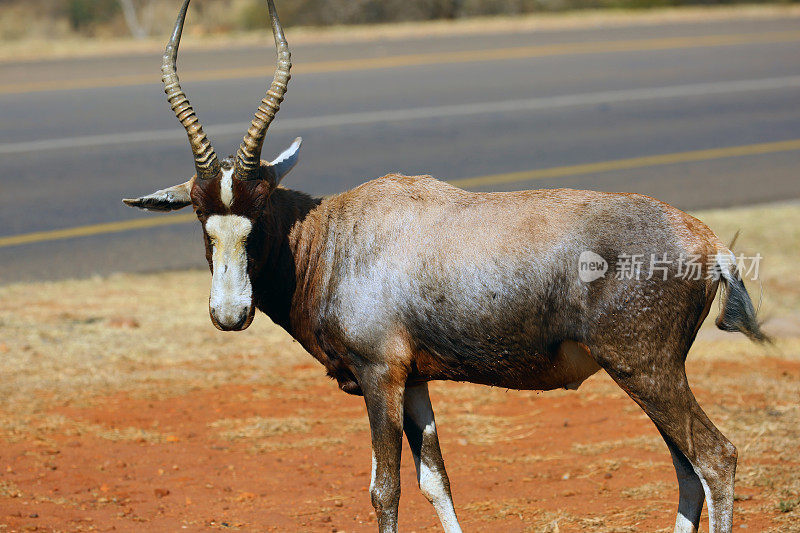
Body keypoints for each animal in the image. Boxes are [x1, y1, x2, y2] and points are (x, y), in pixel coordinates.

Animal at [123, 1, 768, 532]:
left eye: (258, 209)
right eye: (200, 213)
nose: (230, 313)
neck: (338, 234)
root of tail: (709, 243)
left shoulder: (379, 376)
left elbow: (385, 490)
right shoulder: (415, 381)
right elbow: (437, 483)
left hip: (647, 371)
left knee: (716, 459)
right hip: (647, 375)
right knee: (688, 472)